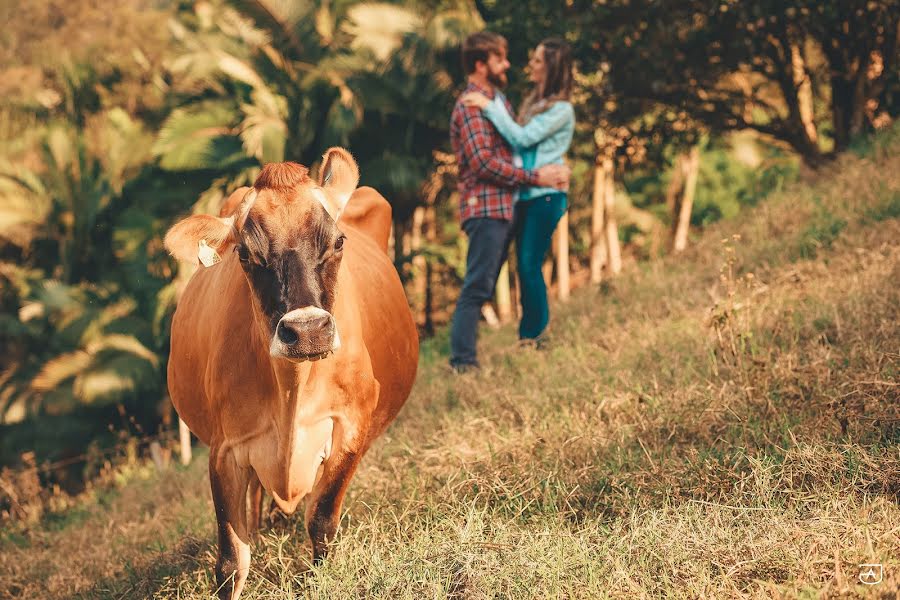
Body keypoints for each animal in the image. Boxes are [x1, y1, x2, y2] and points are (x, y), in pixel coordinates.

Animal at [164, 148, 418, 596]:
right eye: (245, 255)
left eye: (338, 242)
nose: (308, 330)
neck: (291, 390)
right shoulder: (224, 449)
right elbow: (231, 559)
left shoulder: (350, 424)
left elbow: (321, 519)